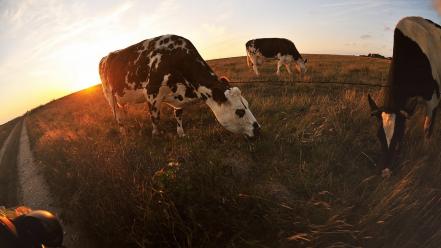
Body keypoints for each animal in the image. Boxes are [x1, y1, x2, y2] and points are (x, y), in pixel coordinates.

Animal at [98, 35, 260, 139]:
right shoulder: (152, 93)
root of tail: (106, 56)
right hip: (109, 95)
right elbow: (155, 118)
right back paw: (124, 133)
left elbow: (178, 114)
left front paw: (181, 134)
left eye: (247, 105)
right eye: (239, 111)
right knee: (117, 115)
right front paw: (156, 136)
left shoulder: (179, 98)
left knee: (123, 110)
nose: (258, 129)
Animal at [366, 16, 438, 177]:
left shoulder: (433, 100)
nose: (386, 172)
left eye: (397, 135)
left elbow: (427, 128)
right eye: (378, 135)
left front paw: (426, 151)